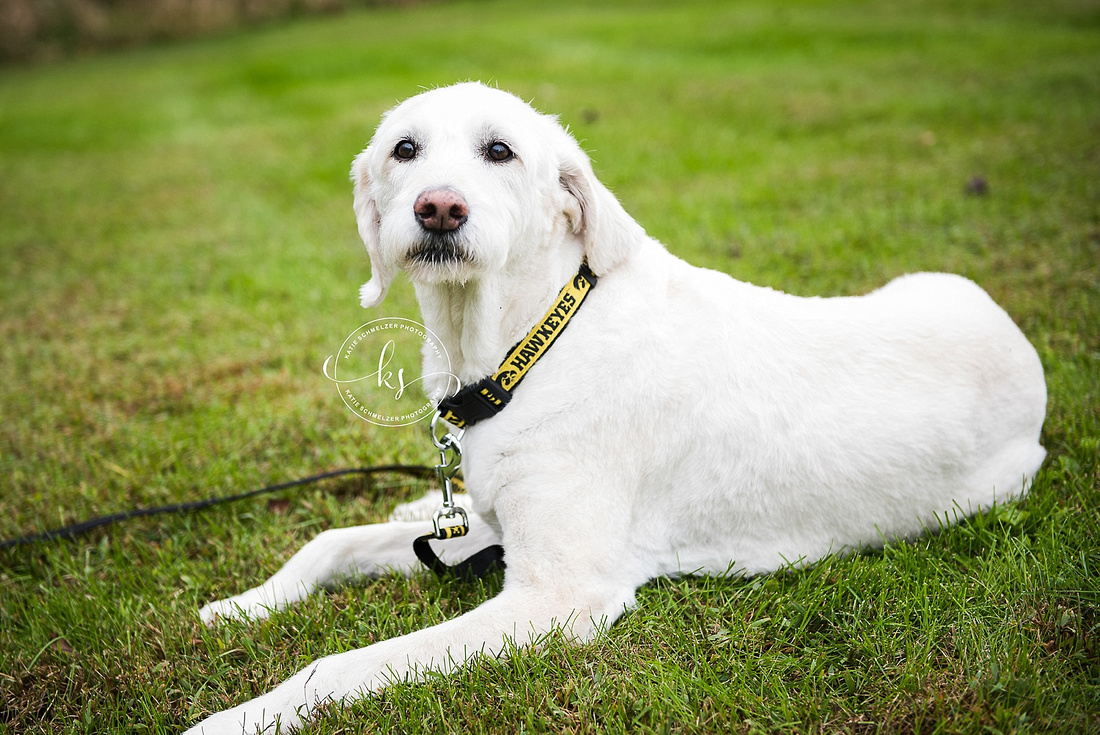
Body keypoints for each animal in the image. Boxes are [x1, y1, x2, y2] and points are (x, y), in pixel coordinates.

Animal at [187, 81, 1038, 735]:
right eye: (405, 150)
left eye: (500, 151)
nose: (438, 208)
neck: (524, 345)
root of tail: (1018, 341)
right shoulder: (496, 535)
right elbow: (330, 541)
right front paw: (243, 603)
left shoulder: (558, 596)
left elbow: (339, 664)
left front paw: (237, 717)